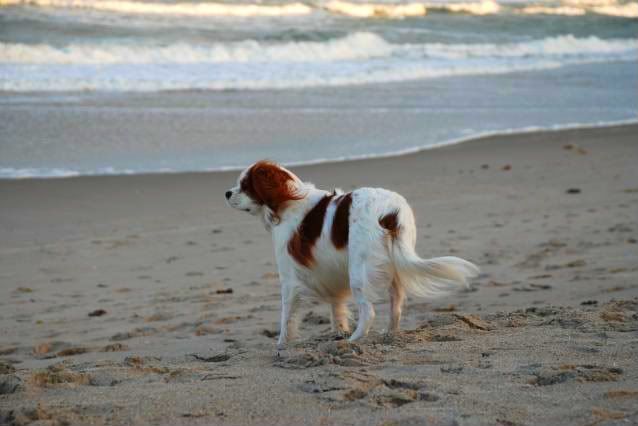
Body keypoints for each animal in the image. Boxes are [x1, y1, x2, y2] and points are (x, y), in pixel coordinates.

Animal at [226, 161, 480, 348]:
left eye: (245, 185)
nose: (227, 192)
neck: (288, 200)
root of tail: (390, 210)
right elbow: (336, 308)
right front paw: (337, 331)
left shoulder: (289, 279)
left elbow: (287, 316)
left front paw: (281, 344)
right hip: (392, 265)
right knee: (396, 305)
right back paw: (389, 334)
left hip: (358, 272)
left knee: (368, 312)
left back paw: (353, 340)